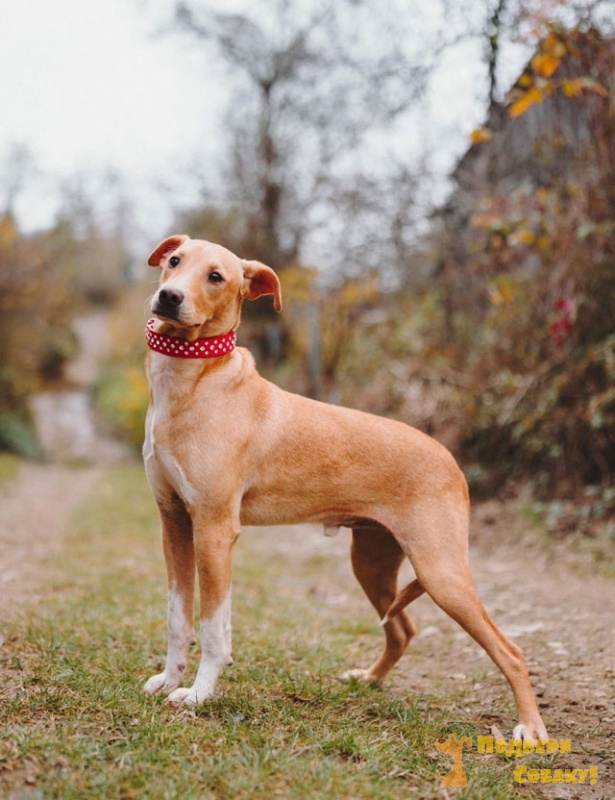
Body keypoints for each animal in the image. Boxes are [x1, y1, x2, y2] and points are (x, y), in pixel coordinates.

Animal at [142, 235, 547, 743]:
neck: (196, 380)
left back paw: (531, 727)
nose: (169, 297)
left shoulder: (214, 530)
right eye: (175, 262)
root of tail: (450, 460)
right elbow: (177, 616)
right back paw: (369, 680)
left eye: (216, 276)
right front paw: (168, 679)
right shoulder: (174, 522)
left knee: (510, 650)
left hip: (442, 572)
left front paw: (198, 695)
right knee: (402, 629)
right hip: (371, 563)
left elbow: (214, 628)